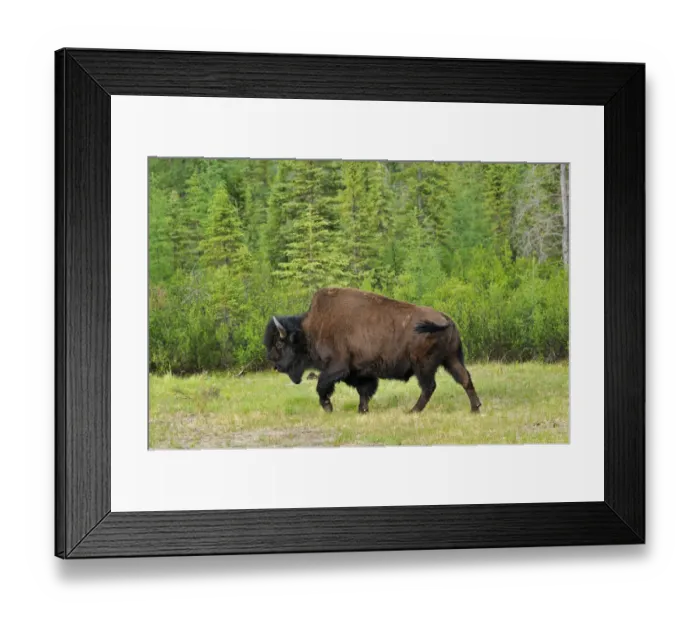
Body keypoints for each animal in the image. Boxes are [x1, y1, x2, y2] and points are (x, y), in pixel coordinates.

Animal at [264, 287, 482, 414]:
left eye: (279, 344)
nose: (275, 365)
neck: (309, 329)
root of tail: (446, 318)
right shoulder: (361, 372)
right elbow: (364, 391)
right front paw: (362, 410)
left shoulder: (337, 367)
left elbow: (322, 384)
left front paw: (328, 407)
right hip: (451, 359)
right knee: (464, 378)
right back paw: (475, 408)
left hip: (424, 365)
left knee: (429, 386)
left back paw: (412, 411)